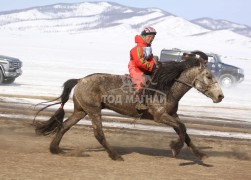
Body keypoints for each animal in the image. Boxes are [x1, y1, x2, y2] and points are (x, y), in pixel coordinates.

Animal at [34, 57, 225, 160]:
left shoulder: (172, 115)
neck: (168, 86)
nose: (220, 96)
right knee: (98, 134)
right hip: (94, 111)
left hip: (81, 111)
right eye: (208, 76)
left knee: (64, 126)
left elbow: (184, 132)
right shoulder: (161, 116)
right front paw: (174, 147)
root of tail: (80, 80)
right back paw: (115, 155)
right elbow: (182, 128)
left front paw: (200, 155)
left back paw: (55, 149)